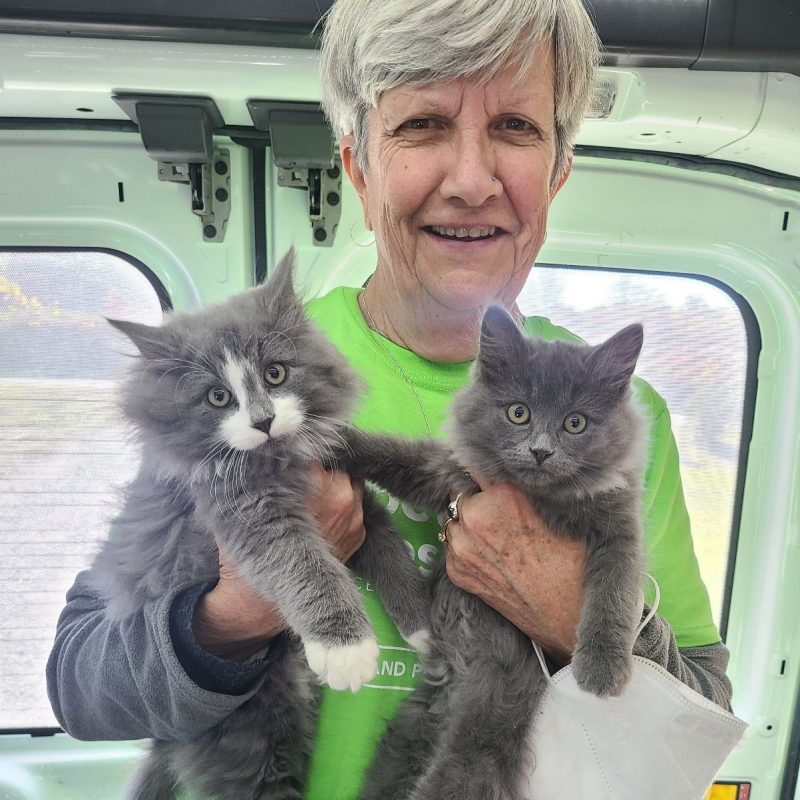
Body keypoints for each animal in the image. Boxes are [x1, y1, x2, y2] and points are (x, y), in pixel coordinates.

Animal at [91, 253, 432, 800]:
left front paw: (422, 626)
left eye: (275, 374)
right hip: (254, 732)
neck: (283, 457)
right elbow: (308, 569)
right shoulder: (253, 517)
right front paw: (347, 649)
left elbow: (392, 556)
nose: (263, 421)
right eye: (217, 397)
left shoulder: (359, 503)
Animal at [334, 306, 648, 800]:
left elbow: (614, 592)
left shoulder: (619, 530)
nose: (540, 451)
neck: (536, 495)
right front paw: (332, 439)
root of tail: (452, 686)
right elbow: (395, 455)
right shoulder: (448, 471)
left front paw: (602, 668)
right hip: (406, 736)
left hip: (481, 735)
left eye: (575, 423)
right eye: (519, 413)